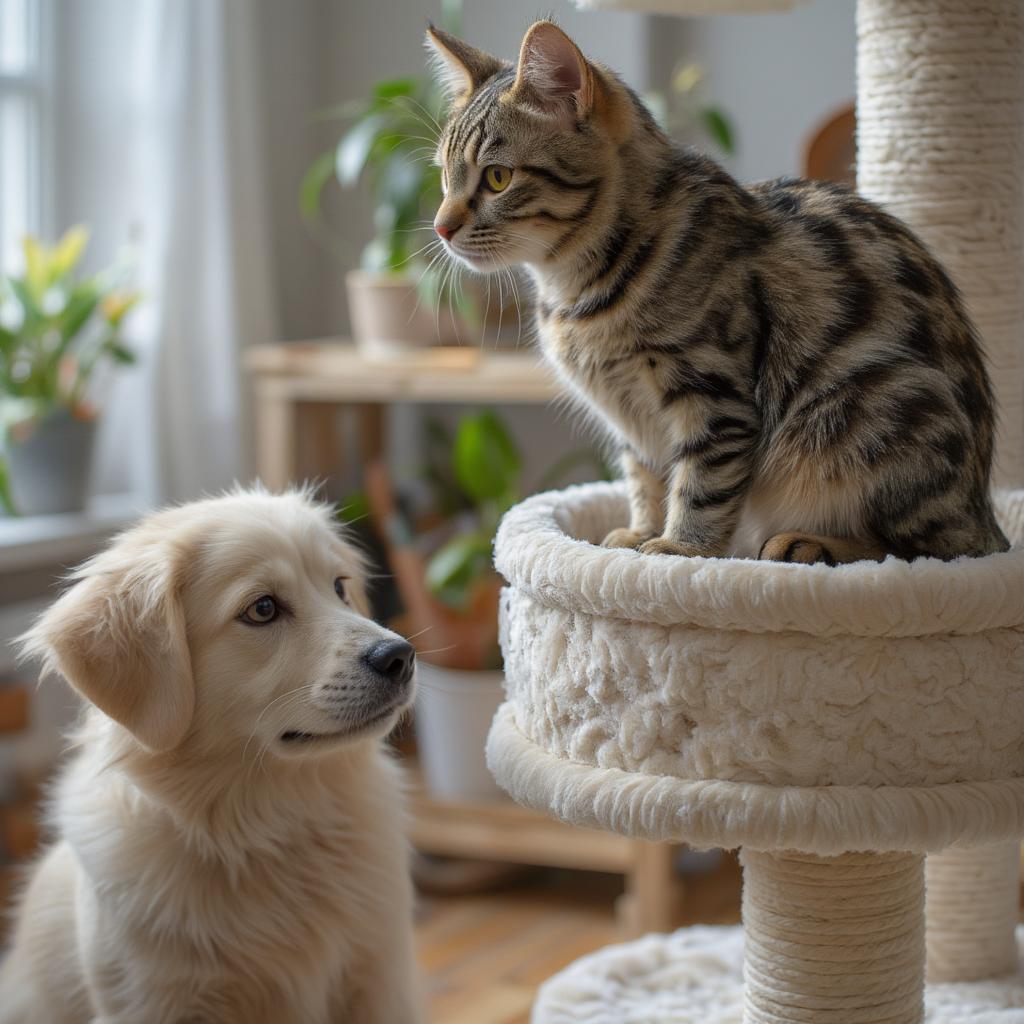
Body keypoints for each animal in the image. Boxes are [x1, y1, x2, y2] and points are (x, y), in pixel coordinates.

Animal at [2, 487, 421, 1024]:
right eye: (262, 608)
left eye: (339, 587)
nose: (400, 657)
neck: (264, 825)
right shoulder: (147, 1001)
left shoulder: (379, 978)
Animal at [423, 19, 1007, 565]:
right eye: (445, 178)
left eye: (498, 178)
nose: (440, 227)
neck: (574, 290)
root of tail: (986, 511)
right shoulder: (635, 425)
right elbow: (646, 480)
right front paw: (637, 536)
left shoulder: (713, 394)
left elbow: (701, 485)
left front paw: (678, 548)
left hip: (873, 414)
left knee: (930, 548)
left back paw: (806, 543)